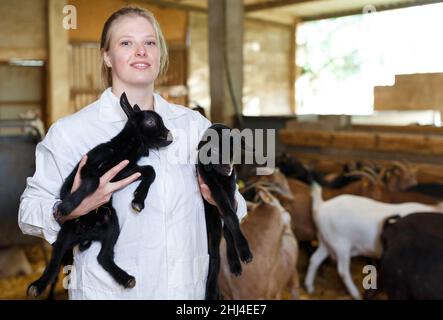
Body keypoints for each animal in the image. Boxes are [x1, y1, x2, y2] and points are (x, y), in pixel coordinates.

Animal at [27, 92, 173, 298]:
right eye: (151, 121)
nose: (169, 135)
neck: (122, 149)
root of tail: (86, 234)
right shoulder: (91, 164)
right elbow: (94, 182)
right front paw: (66, 206)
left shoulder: (125, 170)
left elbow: (150, 171)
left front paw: (138, 201)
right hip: (66, 233)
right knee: (55, 263)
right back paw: (37, 286)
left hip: (111, 223)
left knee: (103, 257)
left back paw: (126, 278)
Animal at [306, 182, 442, 300]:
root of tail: (321, 206)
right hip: (340, 244)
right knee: (343, 270)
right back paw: (355, 294)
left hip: (325, 241)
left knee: (314, 259)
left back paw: (309, 287)